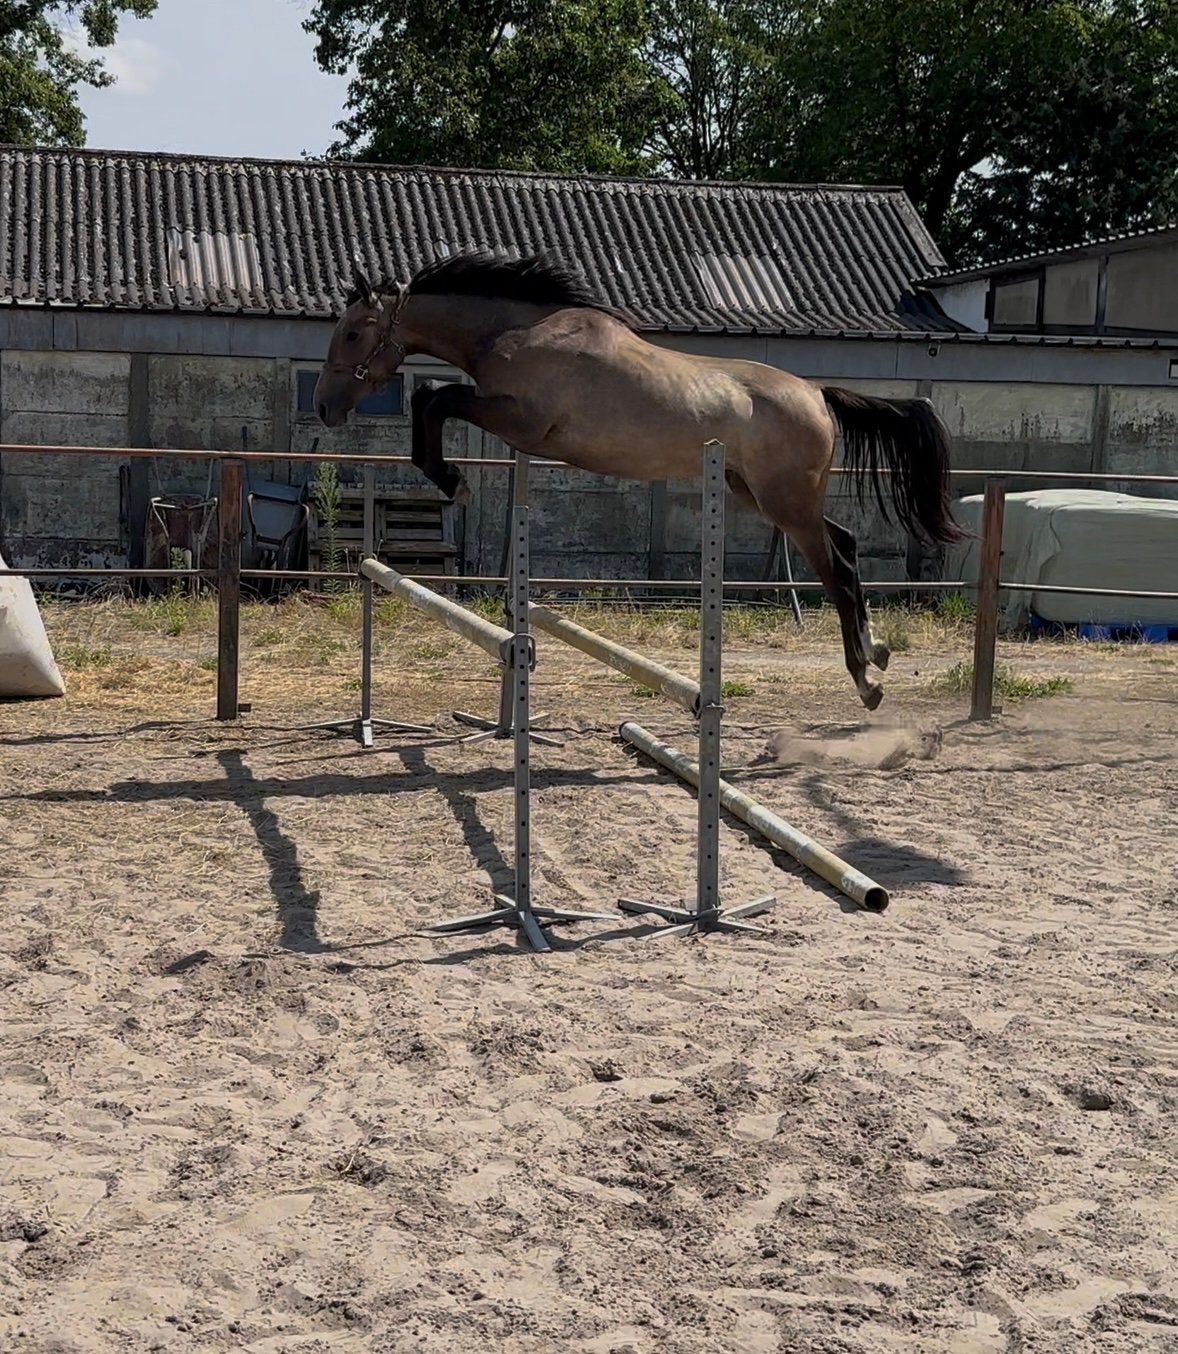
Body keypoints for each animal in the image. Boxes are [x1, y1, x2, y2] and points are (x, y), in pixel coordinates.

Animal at [314, 249, 962, 710]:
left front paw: (453, 480)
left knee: (837, 571)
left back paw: (866, 682)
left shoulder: (522, 421)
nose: (326, 408)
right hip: (760, 494)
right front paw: (451, 478)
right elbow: (431, 396)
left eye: (353, 333)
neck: (517, 331)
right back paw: (878, 652)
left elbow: (433, 394)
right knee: (847, 547)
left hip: (787, 505)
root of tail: (818, 395)